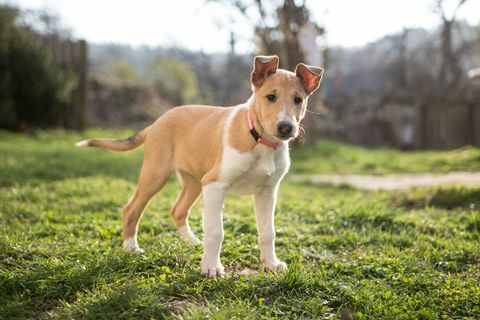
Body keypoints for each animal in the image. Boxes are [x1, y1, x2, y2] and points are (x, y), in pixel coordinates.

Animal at [77, 55, 324, 276]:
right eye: (271, 97)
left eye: (298, 99)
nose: (286, 127)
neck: (259, 140)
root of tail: (156, 122)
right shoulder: (215, 185)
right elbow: (216, 231)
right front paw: (211, 267)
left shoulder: (267, 192)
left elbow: (268, 231)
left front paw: (270, 264)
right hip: (156, 175)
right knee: (132, 209)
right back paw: (131, 248)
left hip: (194, 182)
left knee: (177, 210)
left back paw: (192, 242)